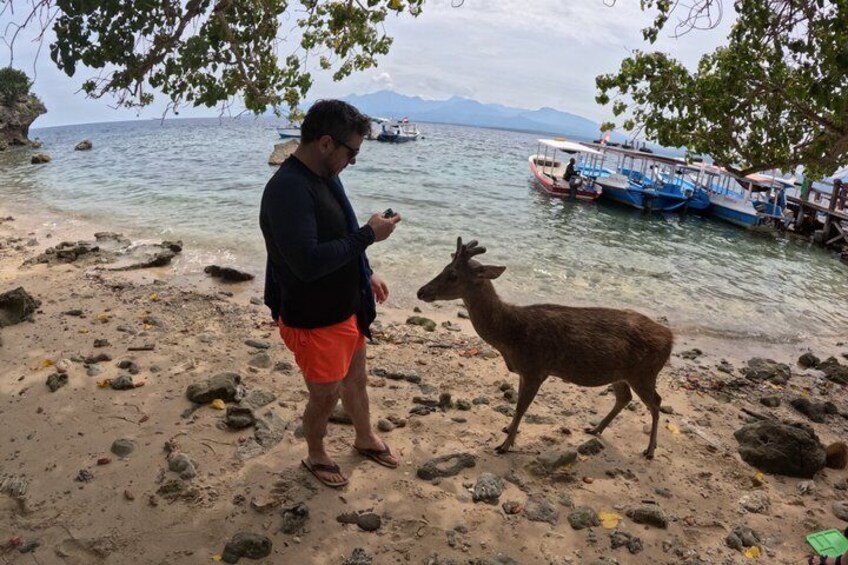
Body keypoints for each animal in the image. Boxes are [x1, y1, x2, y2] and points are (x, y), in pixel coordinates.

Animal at [416, 238, 674, 459]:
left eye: (453, 275)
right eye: (445, 267)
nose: (421, 291)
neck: (510, 335)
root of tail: (671, 338)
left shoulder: (536, 368)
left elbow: (521, 408)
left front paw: (504, 445)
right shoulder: (524, 371)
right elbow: (516, 407)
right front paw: (507, 431)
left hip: (645, 372)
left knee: (656, 403)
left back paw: (649, 450)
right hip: (621, 373)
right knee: (625, 397)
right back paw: (595, 429)